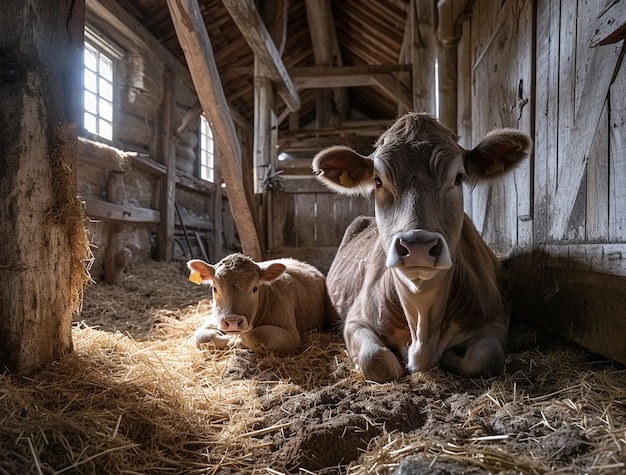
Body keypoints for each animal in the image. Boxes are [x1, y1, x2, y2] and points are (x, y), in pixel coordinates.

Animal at [186, 253, 324, 354]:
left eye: (255, 288)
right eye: (215, 288)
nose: (232, 321)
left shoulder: (292, 334)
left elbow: (258, 334)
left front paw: (237, 341)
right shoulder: (214, 319)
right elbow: (201, 337)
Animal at [310, 113, 528, 384]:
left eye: (458, 177)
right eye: (378, 180)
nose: (417, 245)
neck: (422, 328)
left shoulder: (495, 319)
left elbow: (486, 358)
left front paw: (449, 357)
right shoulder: (355, 320)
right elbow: (376, 360)